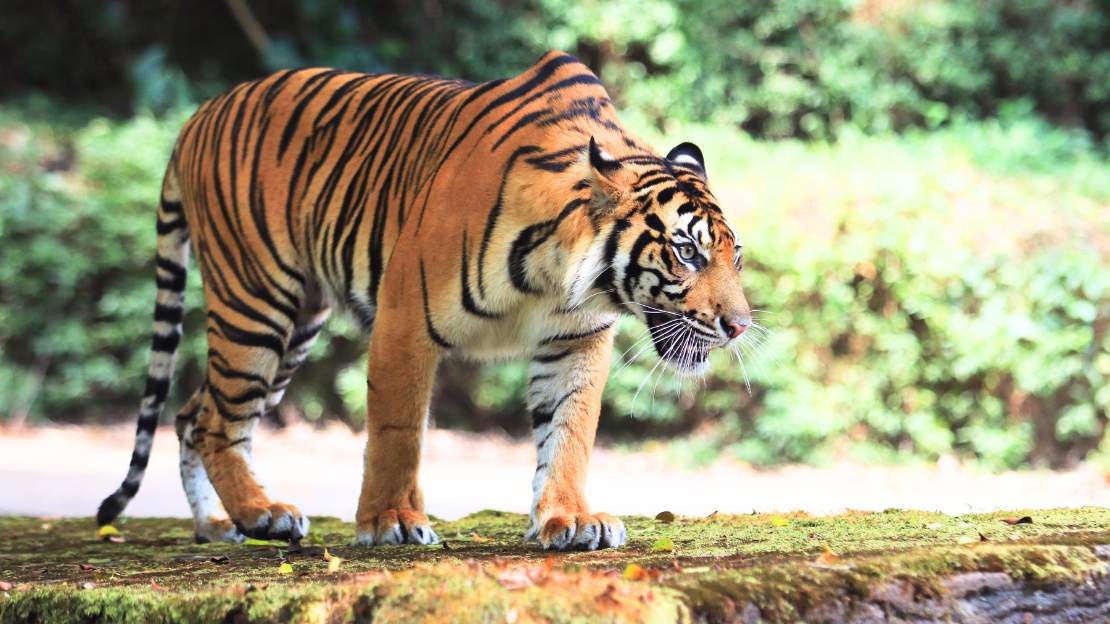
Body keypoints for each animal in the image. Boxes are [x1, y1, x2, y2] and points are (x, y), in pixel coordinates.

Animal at [96, 51, 752, 551]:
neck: (560, 273)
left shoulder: (576, 339)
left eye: (735, 255)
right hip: (256, 300)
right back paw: (263, 515)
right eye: (687, 252)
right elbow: (397, 430)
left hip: (295, 324)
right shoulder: (405, 316)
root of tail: (198, 115)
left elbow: (569, 429)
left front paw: (570, 518)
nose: (742, 326)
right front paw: (390, 521)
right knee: (216, 421)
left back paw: (218, 523)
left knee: (193, 414)